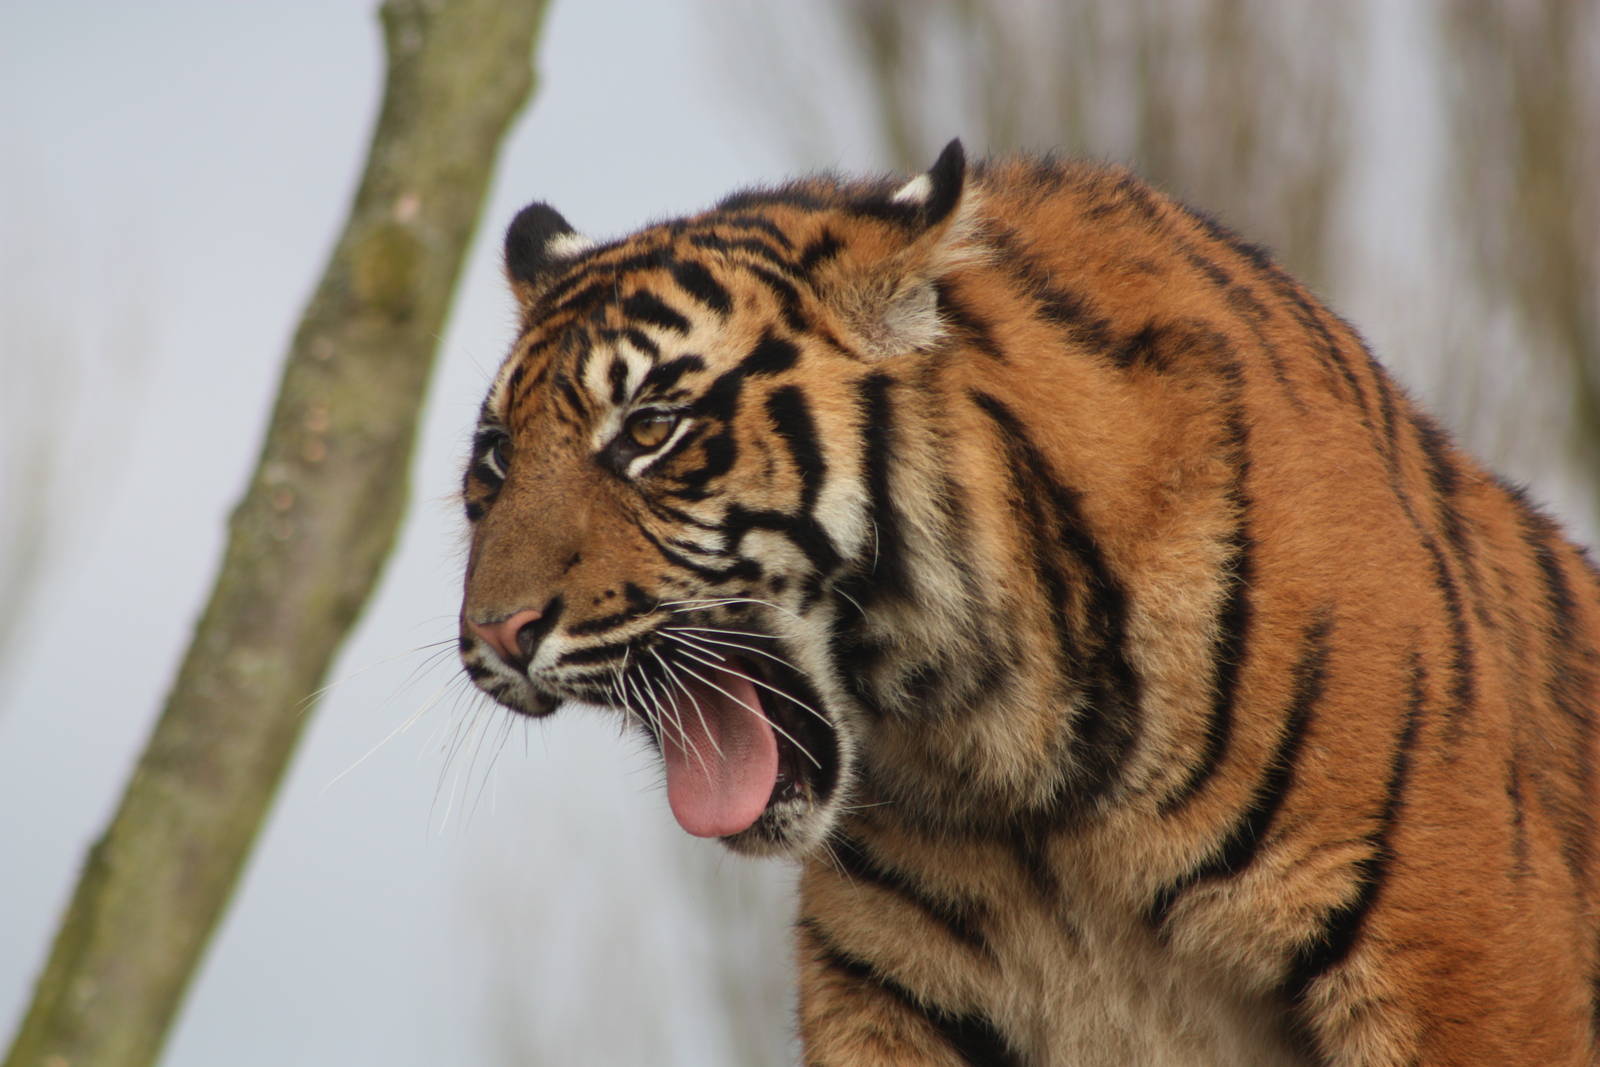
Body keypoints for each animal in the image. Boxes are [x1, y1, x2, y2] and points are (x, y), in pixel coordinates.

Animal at [456, 139, 1600, 1065]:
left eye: (651, 429)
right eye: (498, 460)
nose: (499, 634)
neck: (1015, 773)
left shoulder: (1462, 960)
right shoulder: (889, 993)